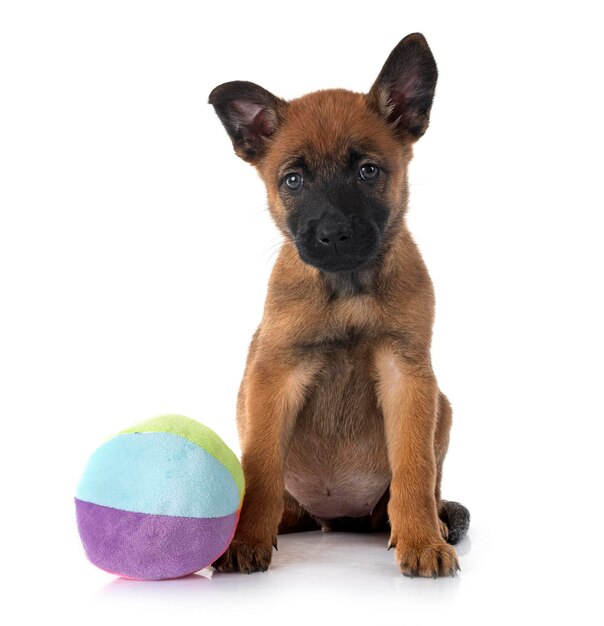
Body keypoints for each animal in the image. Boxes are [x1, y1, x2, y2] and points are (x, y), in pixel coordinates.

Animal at [210, 33, 470, 576]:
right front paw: (245, 540)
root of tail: (334, 519)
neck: (347, 292)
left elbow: (413, 468)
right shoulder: (274, 374)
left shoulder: (407, 376)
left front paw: (421, 540)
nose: (333, 235)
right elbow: (260, 468)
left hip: (443, 407)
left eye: (368, 171)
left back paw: (434, 522)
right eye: (293, 180)